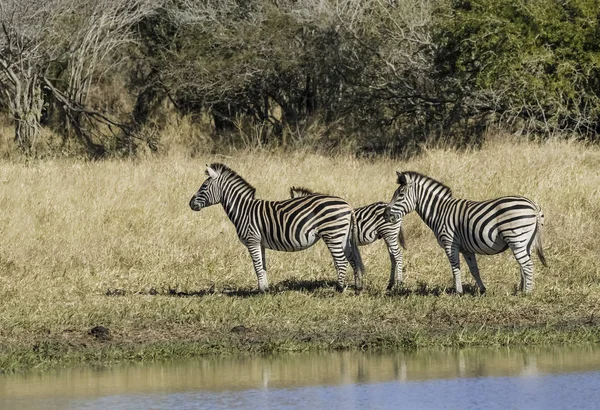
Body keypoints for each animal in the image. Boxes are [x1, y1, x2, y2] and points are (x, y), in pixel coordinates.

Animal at [188, 163, 366, 294]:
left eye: (204, 187)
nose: (190, 204)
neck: (243, 210)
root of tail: (347, 205)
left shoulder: (252, 240)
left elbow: (256, 266)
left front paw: (261, 291)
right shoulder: (259, 242)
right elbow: (262, 266)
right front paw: (265, 289)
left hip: (332, 234)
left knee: (341, 261)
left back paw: (339, 289)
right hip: (343, 236)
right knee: (352, 259)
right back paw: (357, 288)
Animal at [384, 171, 548, 294]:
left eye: (400, 194)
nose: (385, 214)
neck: (439, 211)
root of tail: (533, 205)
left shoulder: (450, 243)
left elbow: (455, 267)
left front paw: (458, 292)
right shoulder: (466, 249)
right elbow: (474, 269)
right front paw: (482, 290)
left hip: (516, 238)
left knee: (527, 265)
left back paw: (527, 293)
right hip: (527, 242)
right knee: (524, 265)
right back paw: (521, 289)